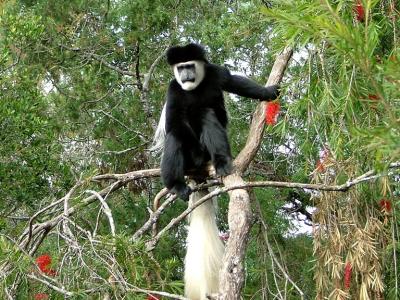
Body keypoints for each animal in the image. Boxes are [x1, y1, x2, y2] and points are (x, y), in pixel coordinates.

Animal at [152, 43, 280, 298]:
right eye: (180, 68)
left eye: (190, 66)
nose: (185, 75)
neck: (194, 88)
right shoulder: (174, 90)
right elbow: (173, 123)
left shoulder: (215, 74)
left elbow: (234, 82)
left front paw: (268, 91)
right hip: (188, 159)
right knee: (176, 136)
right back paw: (177, 186)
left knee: (207, 114)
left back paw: (222, 163)